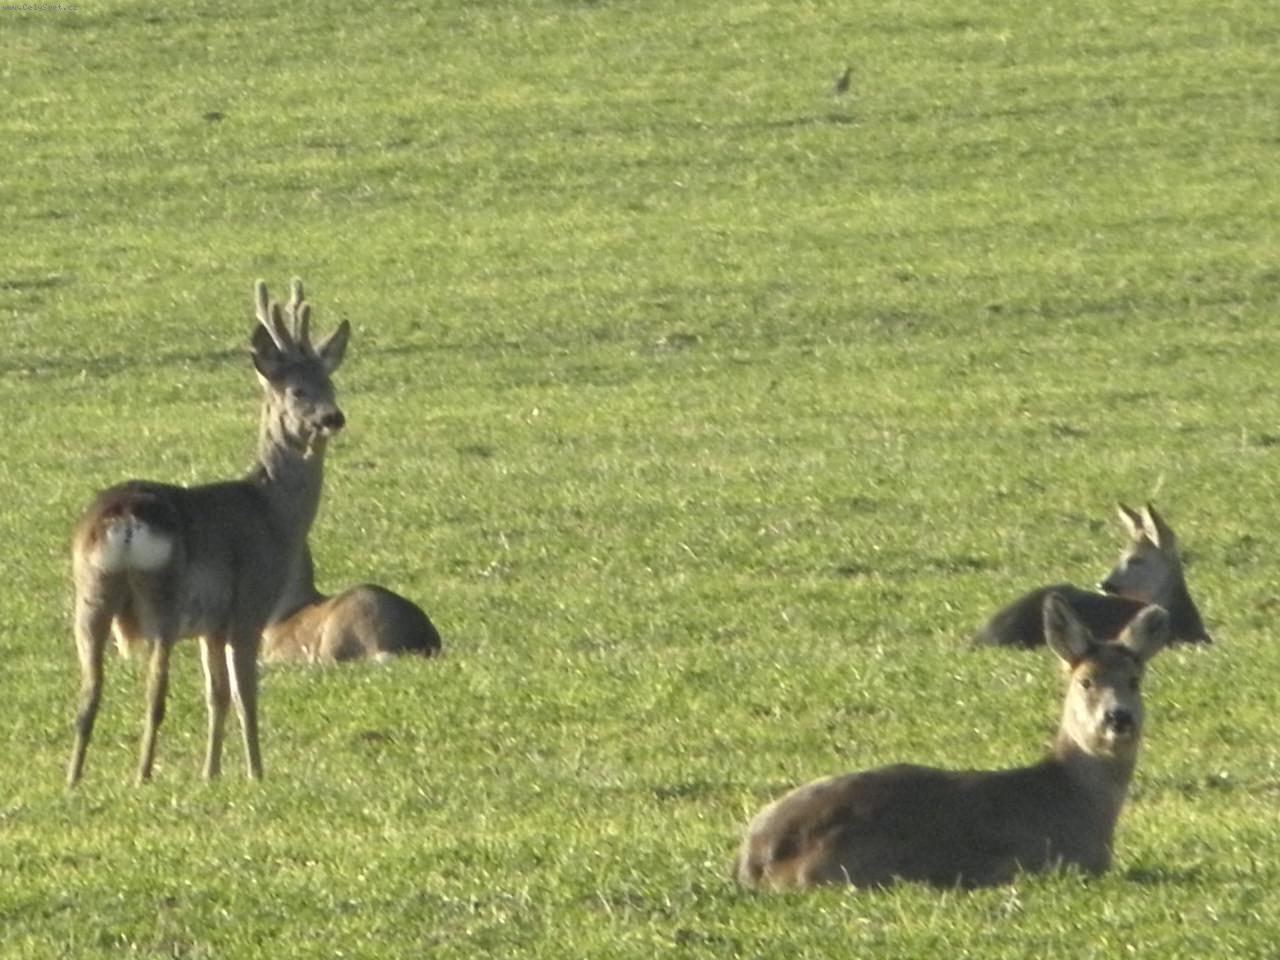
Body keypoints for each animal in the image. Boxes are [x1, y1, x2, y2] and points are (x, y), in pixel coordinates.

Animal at [67, 278, 350, 787]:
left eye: (331, 383)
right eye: (297, 390)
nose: (333, 418)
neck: (273, 514)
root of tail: (122, 519)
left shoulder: (209, 626)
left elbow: (215, 695)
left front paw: (211, 773)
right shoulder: (248, 606)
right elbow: (244, 695)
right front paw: (256, 773)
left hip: (91, 593)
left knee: (87, 693)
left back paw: (74, 780)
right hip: (164, 597)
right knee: (155, 691)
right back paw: (142, 775)